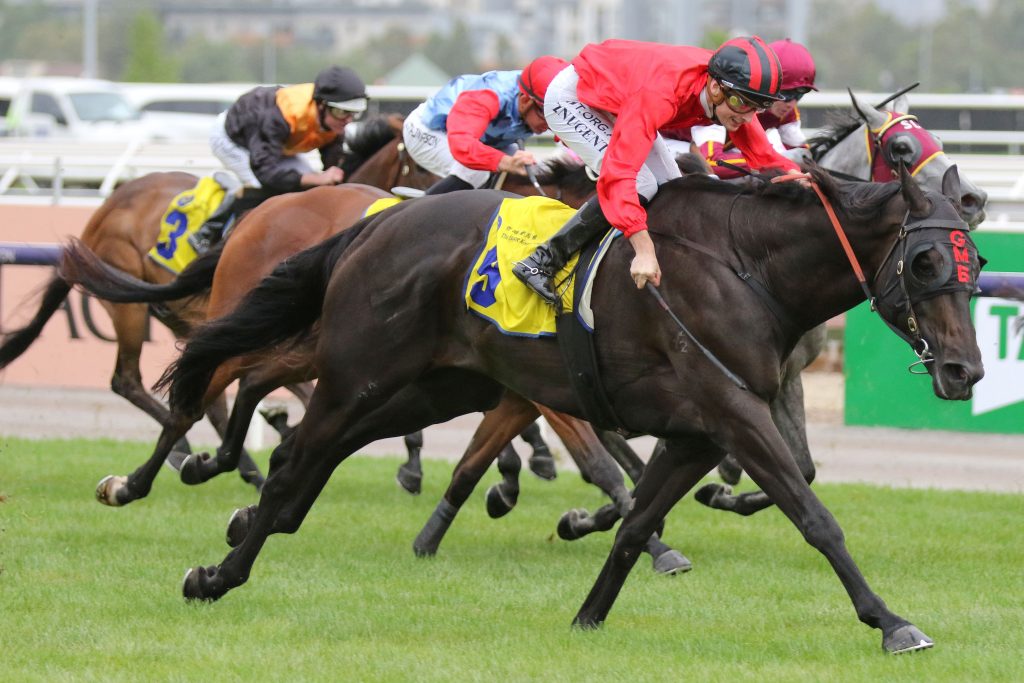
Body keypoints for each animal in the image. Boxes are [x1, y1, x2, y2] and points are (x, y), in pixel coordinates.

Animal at [0, 114, 437, 491]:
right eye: (418, 165)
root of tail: (111, 202)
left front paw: (411, 464)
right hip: (133, 305)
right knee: (131, 380)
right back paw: (187, 453)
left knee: (201, 390)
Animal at [163, 162, 982, 653]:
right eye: (924, 261)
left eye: (975, 265)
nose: (964, 369)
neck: (742, 268)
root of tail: (378, 221)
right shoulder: (732, 412)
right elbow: (814, 515)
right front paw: (892, 622)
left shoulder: (695, 432)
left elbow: (638, 524)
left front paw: (588, 615)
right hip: (360, 373)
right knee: (294, 453)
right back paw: (220, 562)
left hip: (434, 386)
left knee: (314, 457)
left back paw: (233, 537)